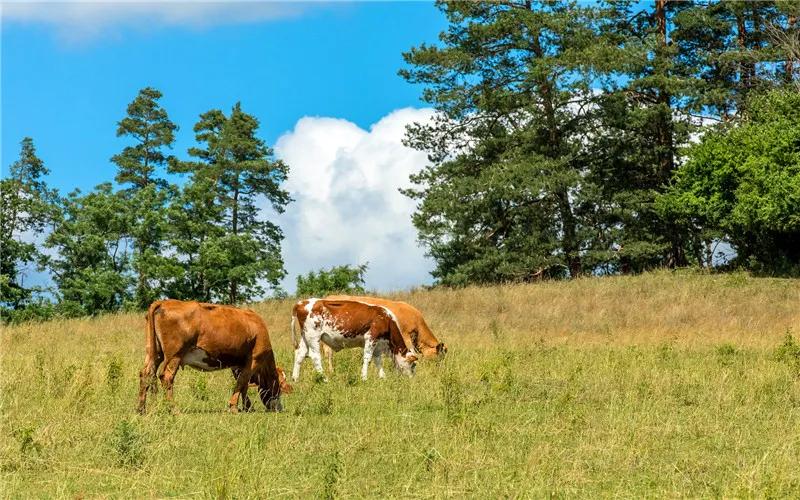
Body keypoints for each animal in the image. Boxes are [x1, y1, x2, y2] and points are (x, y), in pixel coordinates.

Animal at [138, 300, 290, 414]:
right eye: (280, 386)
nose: (279, 408)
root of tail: (164, 302)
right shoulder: (254, 360)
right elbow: (241, 383)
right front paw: (234, 407)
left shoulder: (239, 365)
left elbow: (243, 385)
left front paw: (247, 407)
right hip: (175, 355)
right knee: (167, 377)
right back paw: (174, 409)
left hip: (154, 353)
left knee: (145, 373)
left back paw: (141, 409)